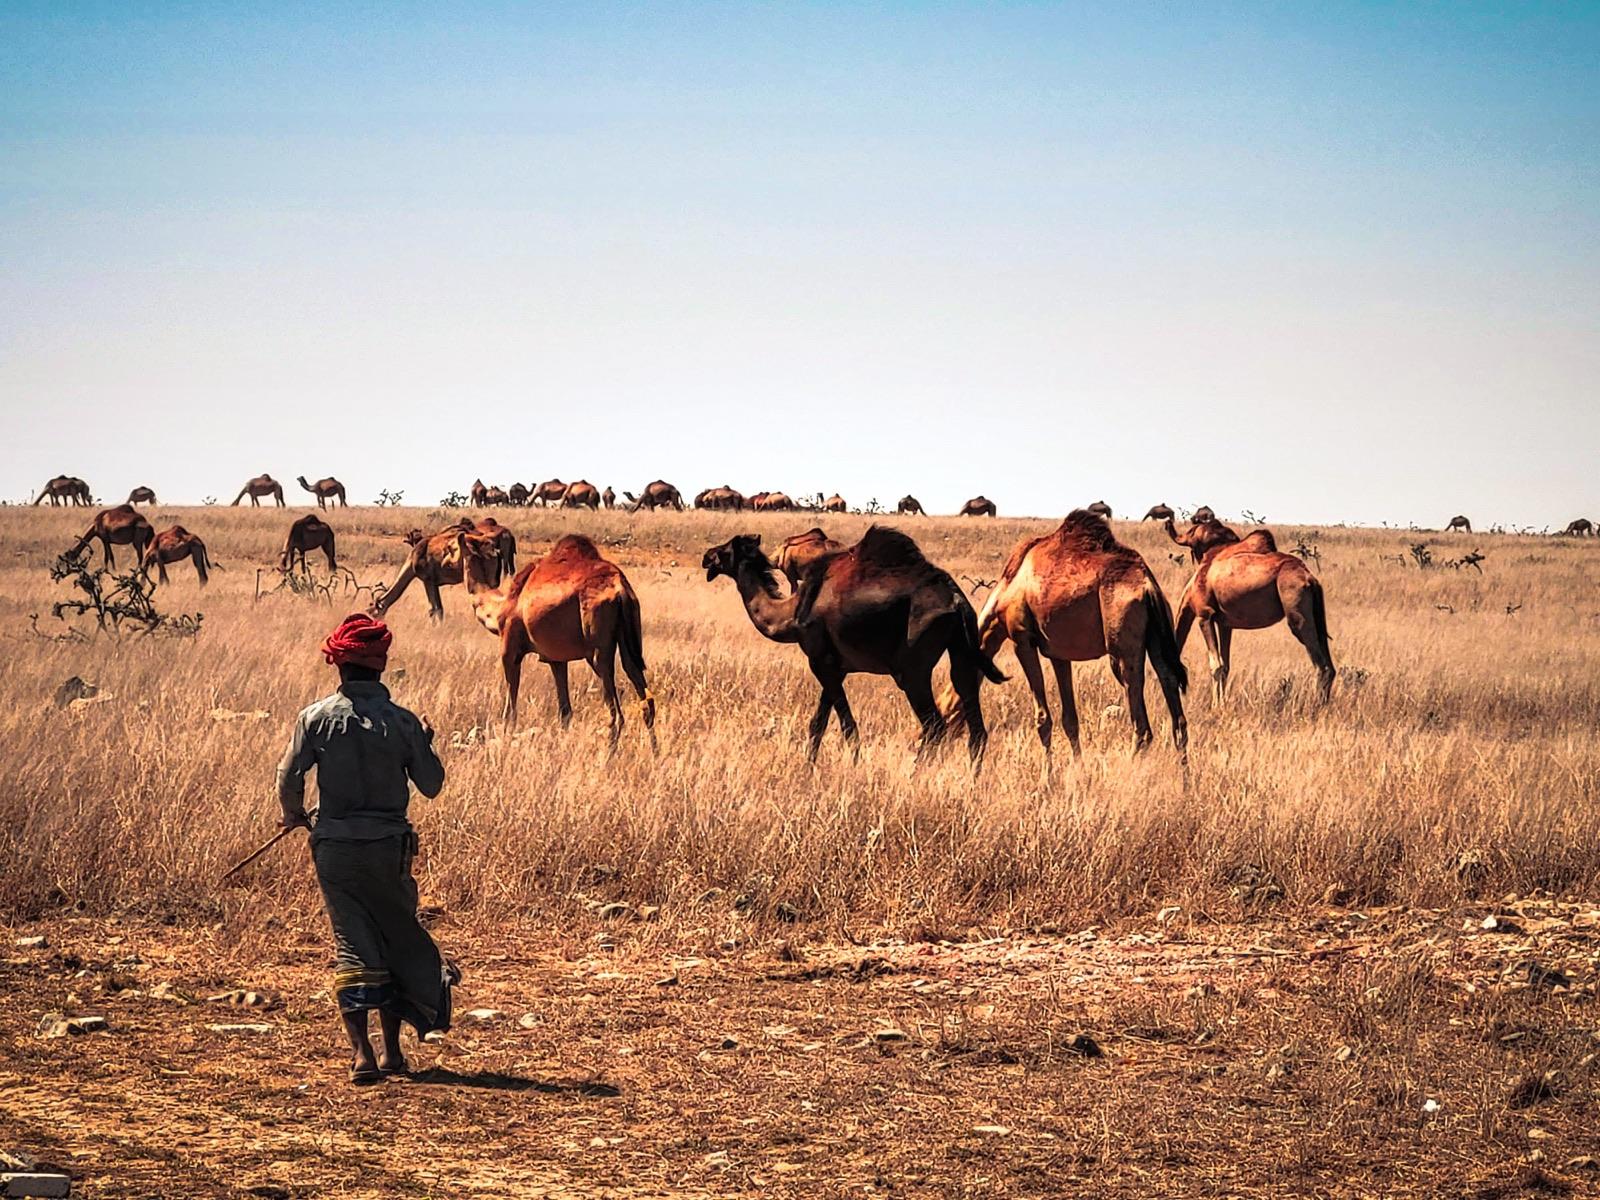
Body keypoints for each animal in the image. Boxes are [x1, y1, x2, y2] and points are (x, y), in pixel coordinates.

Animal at [458, 532, 655, 749]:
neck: (500, 607)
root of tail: (620, 589)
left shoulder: (509, 647)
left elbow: (510, 710)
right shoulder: (556, 659)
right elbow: (565, 711)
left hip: (597, 647)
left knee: (615, 712)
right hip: (629, 635)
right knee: (644, 696)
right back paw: (654, 752)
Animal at [702, 527, 1004, 764]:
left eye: (725, 549)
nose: (707, 556)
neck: (790, 614)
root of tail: (957, 602)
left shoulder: (819, 660)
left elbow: (847, 725)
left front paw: (853, 765)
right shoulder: (835, 666)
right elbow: (818, 723)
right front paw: (808, 768)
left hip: (913, 667)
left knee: (934, 725)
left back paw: (913, 774)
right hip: (963, 651)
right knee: (975, 726)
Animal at [940, 511, 1187, 765]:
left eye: (941, 715)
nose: (932, 746)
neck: (1006, 589)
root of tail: (1149, 587)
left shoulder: (1022, 639)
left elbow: (1042, 719)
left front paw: (1048, 775)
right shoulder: (1058, 653)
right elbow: (1070, 720)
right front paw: (1077, 769)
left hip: (1122, 641)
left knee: (1142, 724)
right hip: (1157, 637)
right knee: (1174, 705)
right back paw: (1184, 774)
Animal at [1174, 528, 1334, 704]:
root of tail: (1310, 579)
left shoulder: (1205, 615)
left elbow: (1216, 666)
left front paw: (1216, 705)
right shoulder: (1225, 624)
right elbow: (1225, 666)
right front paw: (1223, 703)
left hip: (1296, 612)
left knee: (1321, 665)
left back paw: (1314, 705)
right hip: (1316, 615)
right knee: (1329, 663)